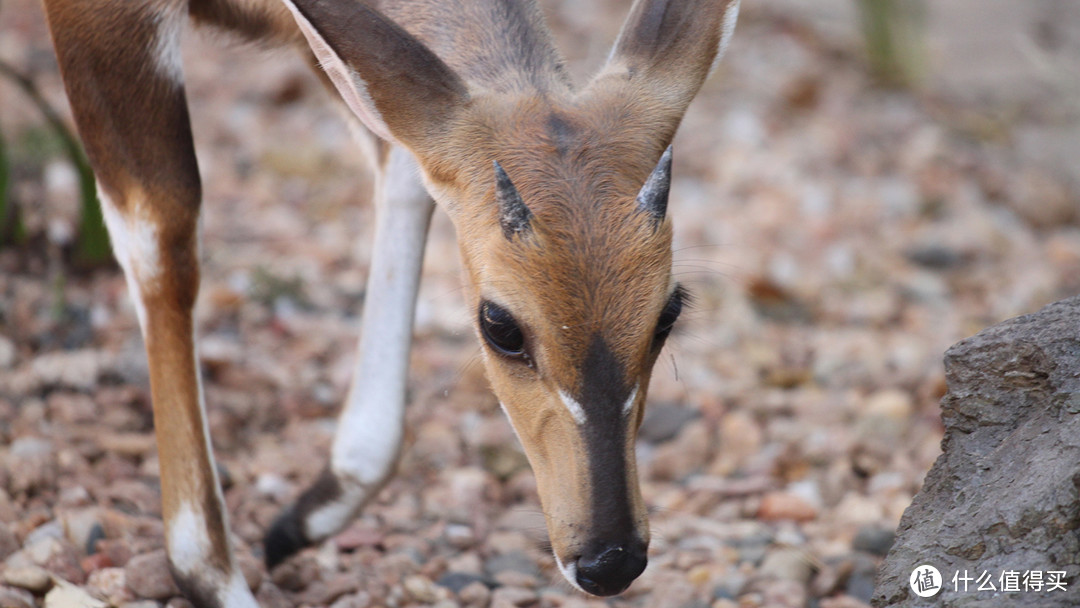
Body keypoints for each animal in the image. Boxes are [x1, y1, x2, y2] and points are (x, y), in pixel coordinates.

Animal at [39, 0, 734, 604]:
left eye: (668, 312)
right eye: (500, 325)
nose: (609, 560)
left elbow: (401, 168)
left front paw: (299, 522)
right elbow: (162, 232)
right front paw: (211, 574)